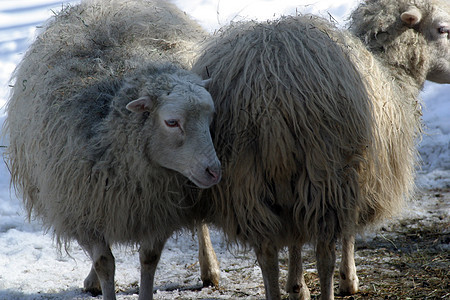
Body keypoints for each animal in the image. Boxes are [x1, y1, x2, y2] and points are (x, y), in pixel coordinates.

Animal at [3, 0, 221, 300]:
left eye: (211, 117)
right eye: (171, 122)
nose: (214, 171)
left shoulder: (159, 209)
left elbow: (149, 258)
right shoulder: (83, 211)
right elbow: (105, 263)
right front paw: (101, 281)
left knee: (201, 226)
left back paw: (210, 268)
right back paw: (92, 281)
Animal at [194, 0, 450, 298]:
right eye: (443, 29)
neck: (391, 72)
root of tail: (267, 94)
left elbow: (294, 240)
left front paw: (297, 286)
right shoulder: (356, 175)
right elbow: (348, 234)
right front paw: (348, 279)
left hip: (247, 183)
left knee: (267, 255)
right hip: (325, 174)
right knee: (324, 255)